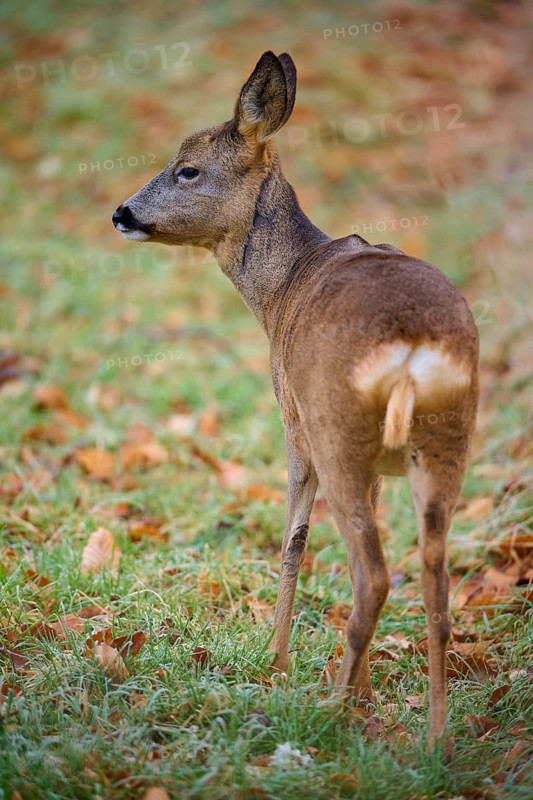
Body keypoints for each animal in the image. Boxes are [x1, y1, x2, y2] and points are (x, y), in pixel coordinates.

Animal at [112, 51, 479, 744]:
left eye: (188, 166)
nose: (121, 213)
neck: (282, 287)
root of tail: (413, 348)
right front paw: (365, 691)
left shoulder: (292, 419)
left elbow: (294, 541)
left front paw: (276, 665)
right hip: (446, 438)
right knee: (432, 580)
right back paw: (435, 739)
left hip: (336, 429)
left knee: (373, 574)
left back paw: (327, 715)